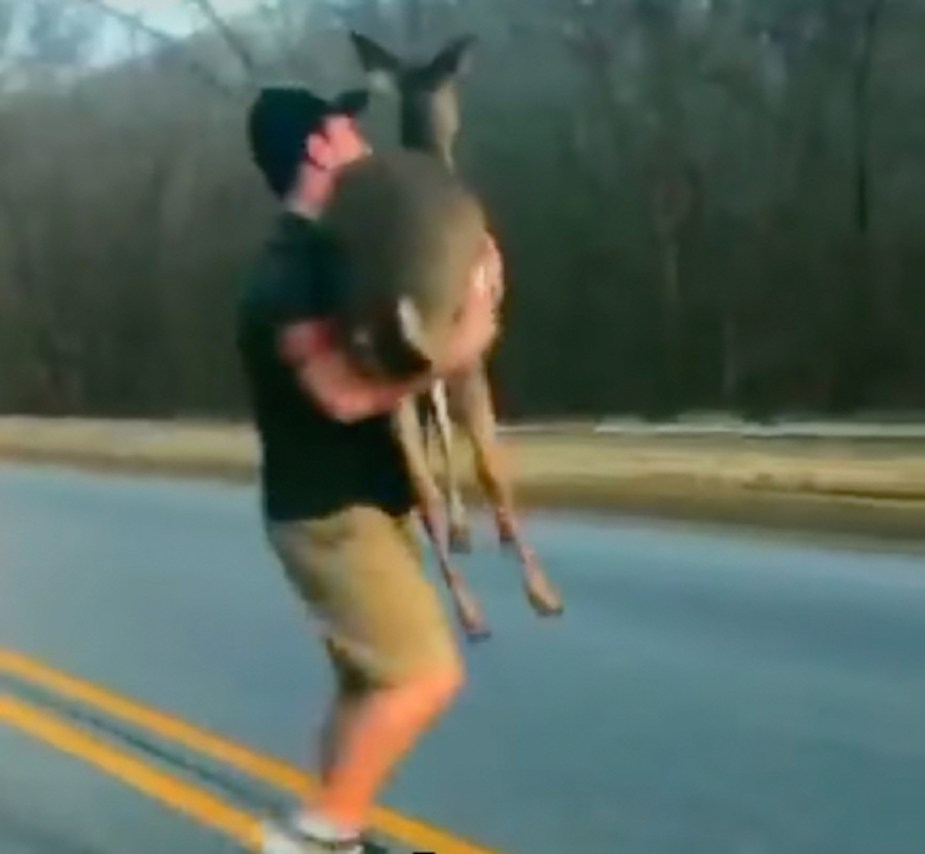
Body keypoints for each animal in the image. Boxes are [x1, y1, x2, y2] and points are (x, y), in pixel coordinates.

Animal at [342, 31, 564, 620]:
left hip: (377, 362)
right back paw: (539, 593)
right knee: (485, 459)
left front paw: (464, 530)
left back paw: (465, 606)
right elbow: (471, 445)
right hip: (454, 339)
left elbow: (435, 426)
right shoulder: (468, 341)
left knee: (416, 476)